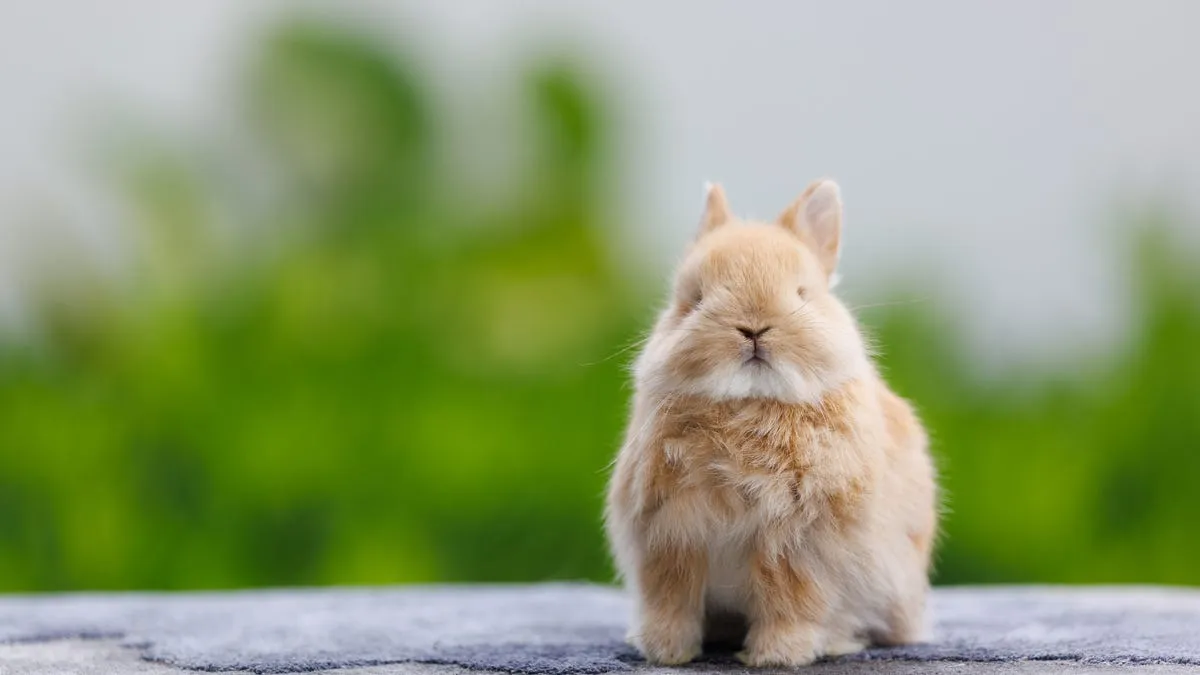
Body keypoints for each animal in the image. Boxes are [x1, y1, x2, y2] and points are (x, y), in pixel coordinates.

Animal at [604, 180, 938, 667]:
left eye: (802, 294)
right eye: (694, 299)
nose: (753, 327)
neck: (748, 403)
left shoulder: (797, 547)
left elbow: (790, 603)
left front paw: (776, 656)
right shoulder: (670, 537)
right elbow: (672, 601)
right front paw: (666, 652)